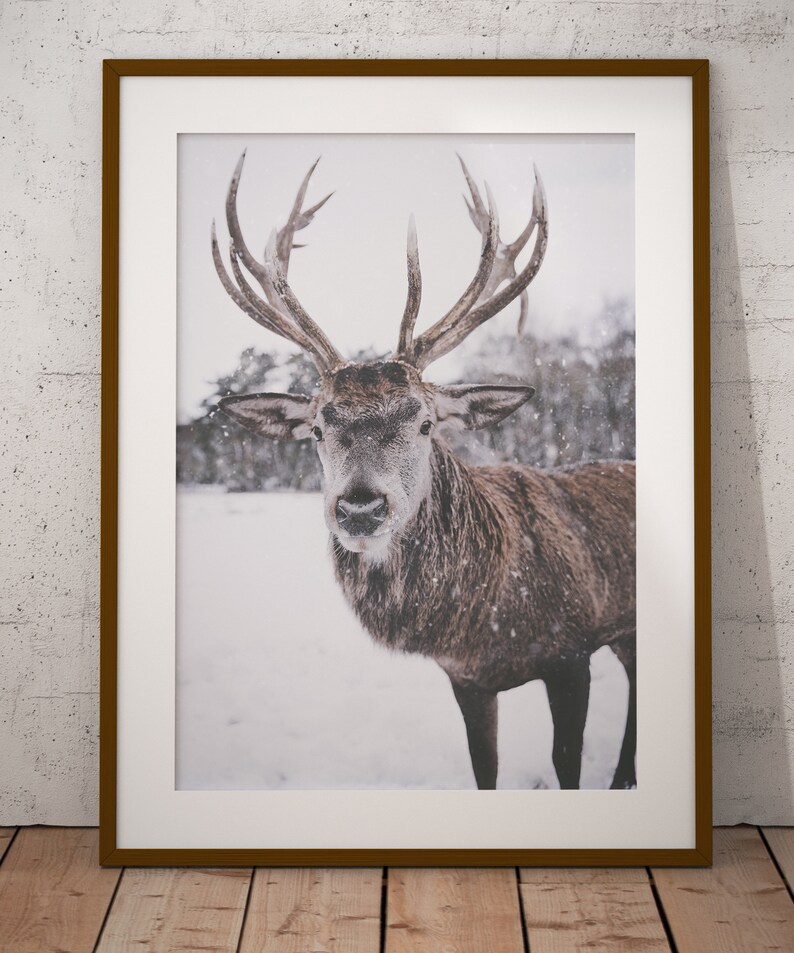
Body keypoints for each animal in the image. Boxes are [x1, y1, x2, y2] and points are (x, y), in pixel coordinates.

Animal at [211, 151, 636, 790]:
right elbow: (484, 769)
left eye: (426, 422)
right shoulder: (465, 679)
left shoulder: (573, 650)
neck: (486, 625)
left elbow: (566, 765)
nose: (360, 507)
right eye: (317, 430)